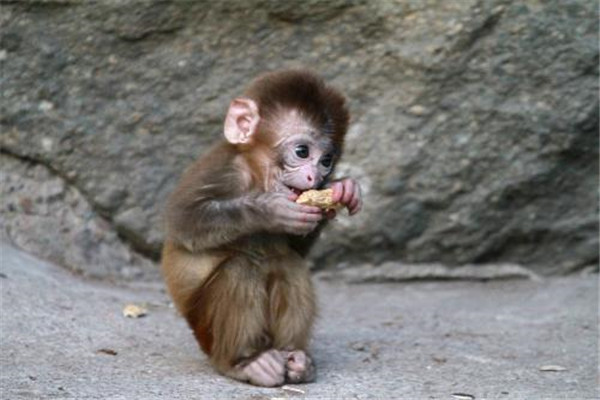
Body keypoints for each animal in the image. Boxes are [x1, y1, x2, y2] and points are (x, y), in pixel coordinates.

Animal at [161, 69, 360, 388]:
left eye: (327, 161)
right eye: (302, 152)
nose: (314, 176)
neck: (255, 176)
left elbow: (296, 250)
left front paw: (343, 189)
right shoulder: (220, 168)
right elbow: (183, 221)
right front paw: (269, 210)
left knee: (287, 264)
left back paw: (294, 357)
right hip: (206, 331)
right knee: (240, 269)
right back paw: (245, 362)